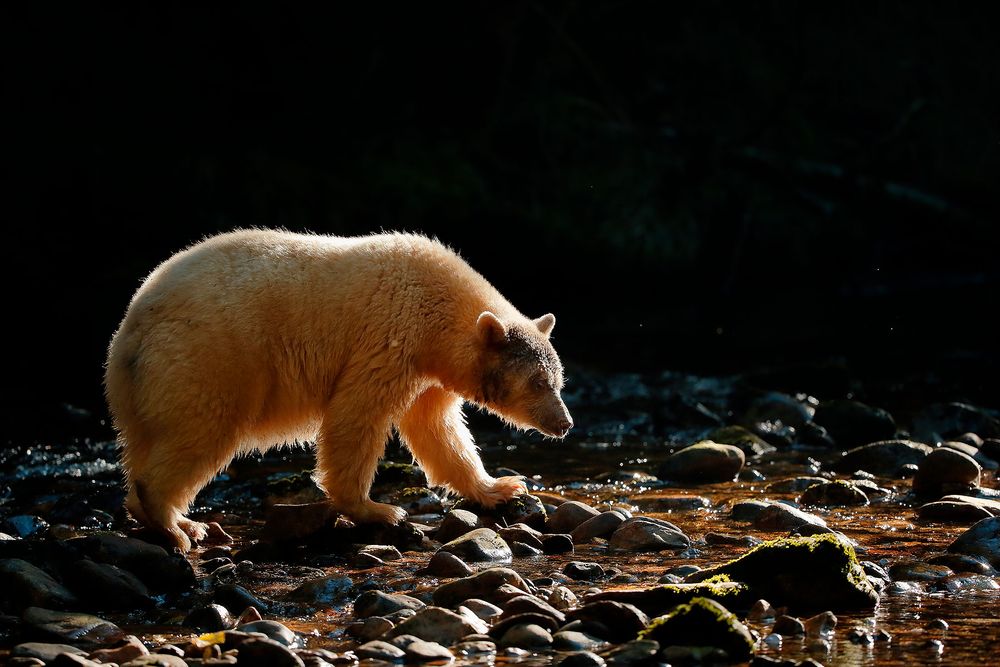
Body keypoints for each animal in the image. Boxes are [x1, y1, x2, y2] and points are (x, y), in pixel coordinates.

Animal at [105, 229, 573, 551]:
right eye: (538, 382)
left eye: (559, 380)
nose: (565, 423)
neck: (440, 308)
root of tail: (132, 327)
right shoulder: (391, 337)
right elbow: (358, 415)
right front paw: (378, 508)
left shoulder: (427, 373)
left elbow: (437, 430)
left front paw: (502, 487)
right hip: (208, 357)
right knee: (203, 430)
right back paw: (172, 524)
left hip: (139, 388)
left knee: (146, 441)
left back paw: (176, 519)